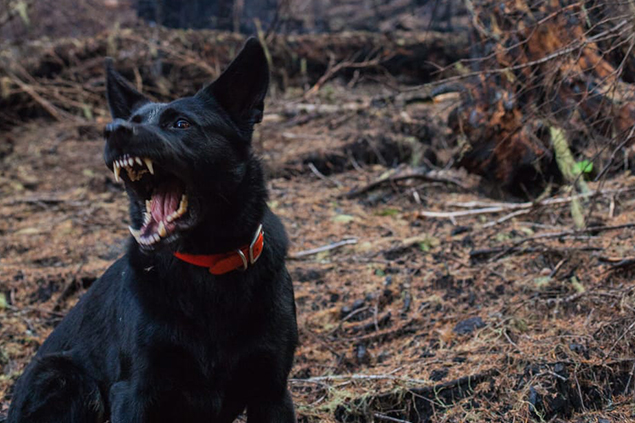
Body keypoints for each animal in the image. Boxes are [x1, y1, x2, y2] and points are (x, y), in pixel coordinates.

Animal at [7, 38, 300, 422]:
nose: (113, 130)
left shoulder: (272, 391)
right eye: (131, 121)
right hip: (67, 377)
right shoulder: (135, 390)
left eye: (181, 123)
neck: (208, 266)